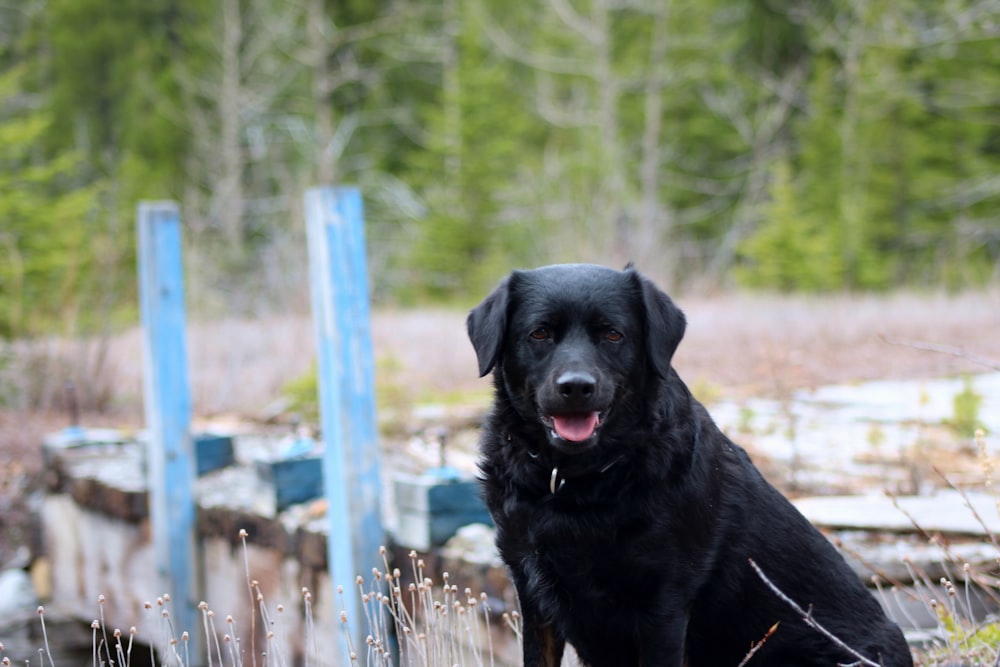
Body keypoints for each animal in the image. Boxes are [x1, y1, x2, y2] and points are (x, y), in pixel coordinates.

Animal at [464, 266, 912, 667]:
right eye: (540, 333)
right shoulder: (533, 594)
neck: (576, 481)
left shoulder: (663, 606)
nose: (576, 387)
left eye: (613, 334)